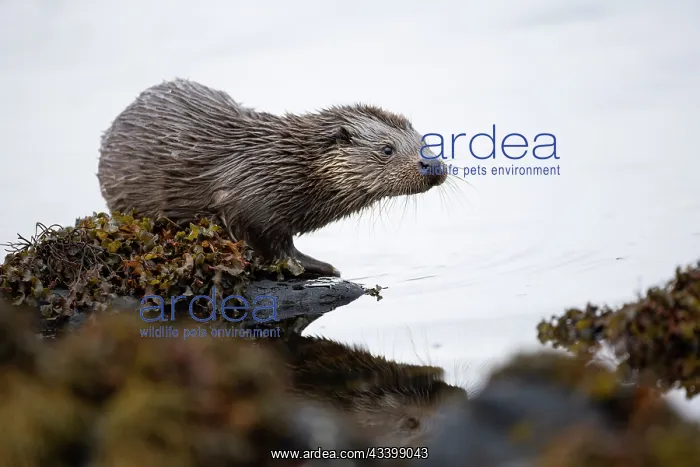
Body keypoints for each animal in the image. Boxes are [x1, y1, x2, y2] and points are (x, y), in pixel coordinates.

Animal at [97, 79, 447, 277]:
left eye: (425, 142)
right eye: (387, 149)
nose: (434, 166)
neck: (281, 166)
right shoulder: (247, 202)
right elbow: (271, 245)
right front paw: (311, 266)